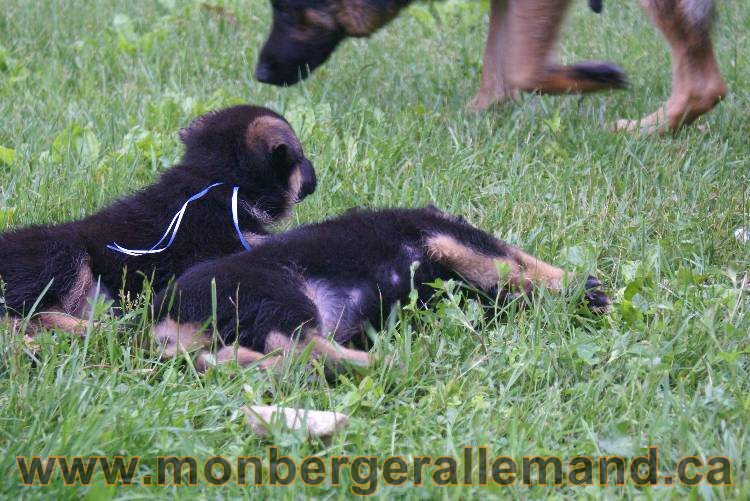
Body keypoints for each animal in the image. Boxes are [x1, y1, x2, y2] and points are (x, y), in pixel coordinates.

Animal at [151, 204, 612, 372]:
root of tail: (164, 321)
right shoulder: (445, 237)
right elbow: (512, 261)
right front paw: (581, 288)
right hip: (279, 293)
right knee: (305, 349)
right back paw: (400, 361)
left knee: (263, 358)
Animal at [258, 0, 728, 134]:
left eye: (284, 9)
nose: (260, 75)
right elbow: (498, 68)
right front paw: (476, 114)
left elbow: (523, 70)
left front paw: (595, 76)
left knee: (705, 84)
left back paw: (645, 131)